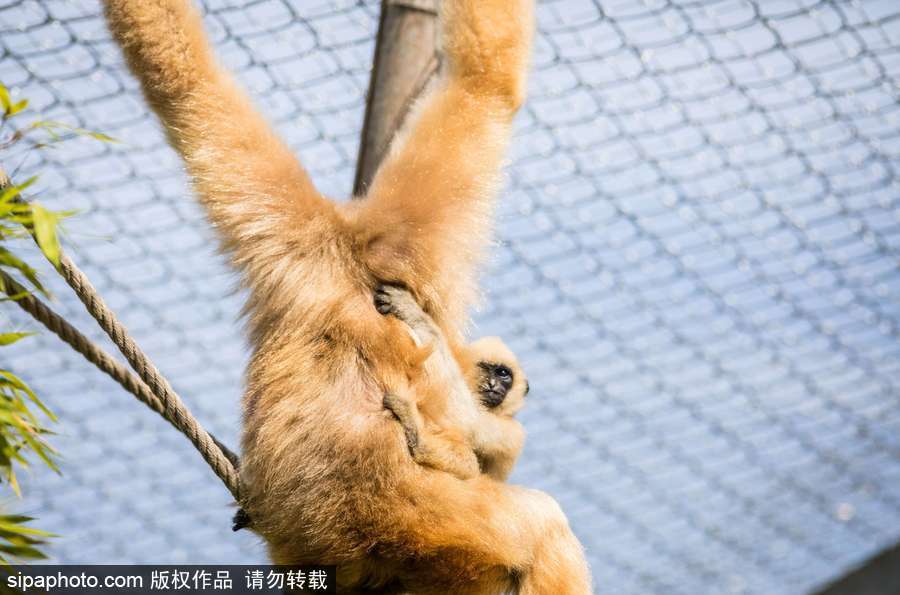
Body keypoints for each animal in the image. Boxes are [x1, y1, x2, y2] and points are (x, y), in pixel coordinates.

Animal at [375, 285, 527, 482]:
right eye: (486, 369)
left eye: (503, 374)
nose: (494, 384)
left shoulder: (513, 431)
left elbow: (469, 421)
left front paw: (413, 312)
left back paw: (418, 437)